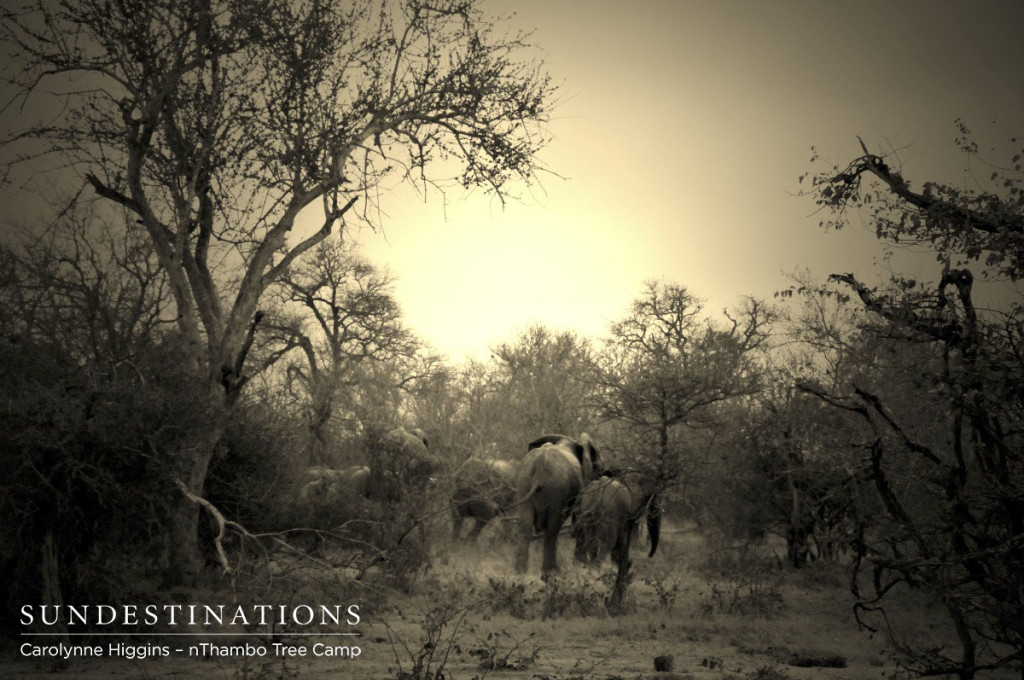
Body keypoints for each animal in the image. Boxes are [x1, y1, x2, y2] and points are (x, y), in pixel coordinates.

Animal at [512, 436, 598, 573]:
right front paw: (580, 565)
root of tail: (540, 468)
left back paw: (520, 572)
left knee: (526, 525)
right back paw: (552, 571)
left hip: (524, 482)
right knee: (552, 528)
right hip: (556, 488)